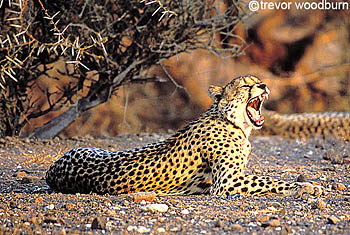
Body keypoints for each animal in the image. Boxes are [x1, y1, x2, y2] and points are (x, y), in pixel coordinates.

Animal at [46, 75, 326, 196]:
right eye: (247, 85)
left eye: (258, 80)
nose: (265, 85)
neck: (234, 124)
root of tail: (52, 169)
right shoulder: (226, 183)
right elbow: (269, 180)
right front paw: (306, 187)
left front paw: (306, 185)